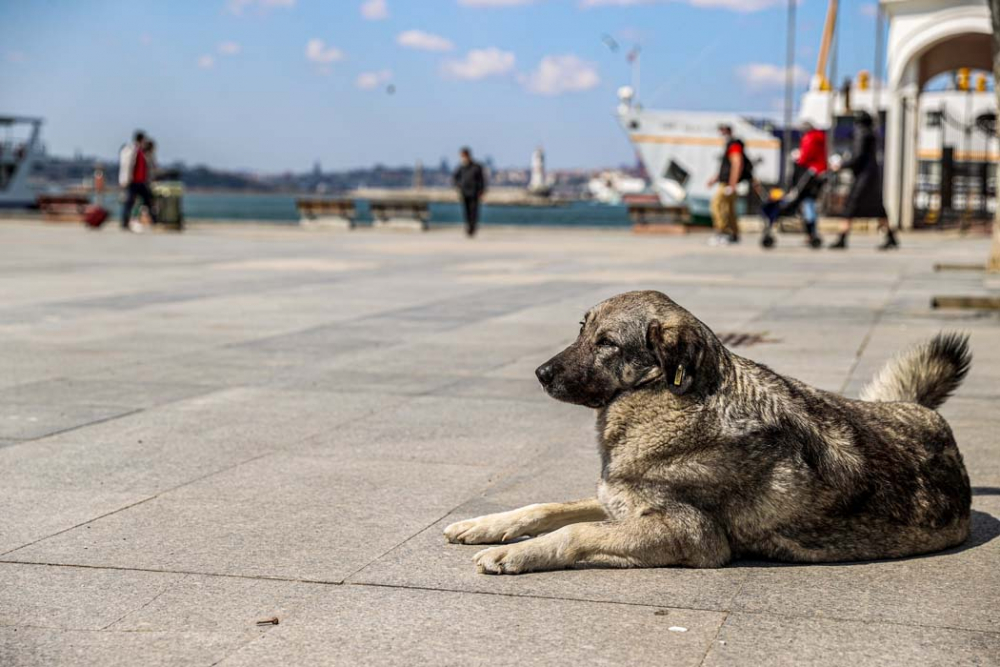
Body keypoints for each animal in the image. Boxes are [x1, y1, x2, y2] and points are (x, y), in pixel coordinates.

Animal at [444, 290, 968, 576]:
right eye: (581, 329)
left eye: (607, 343)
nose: (540, 373)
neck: (666, 397)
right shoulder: (616, 500)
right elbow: (548, 507)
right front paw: (486, 526)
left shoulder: (690, 534)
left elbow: (574, 531)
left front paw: (517, 554)